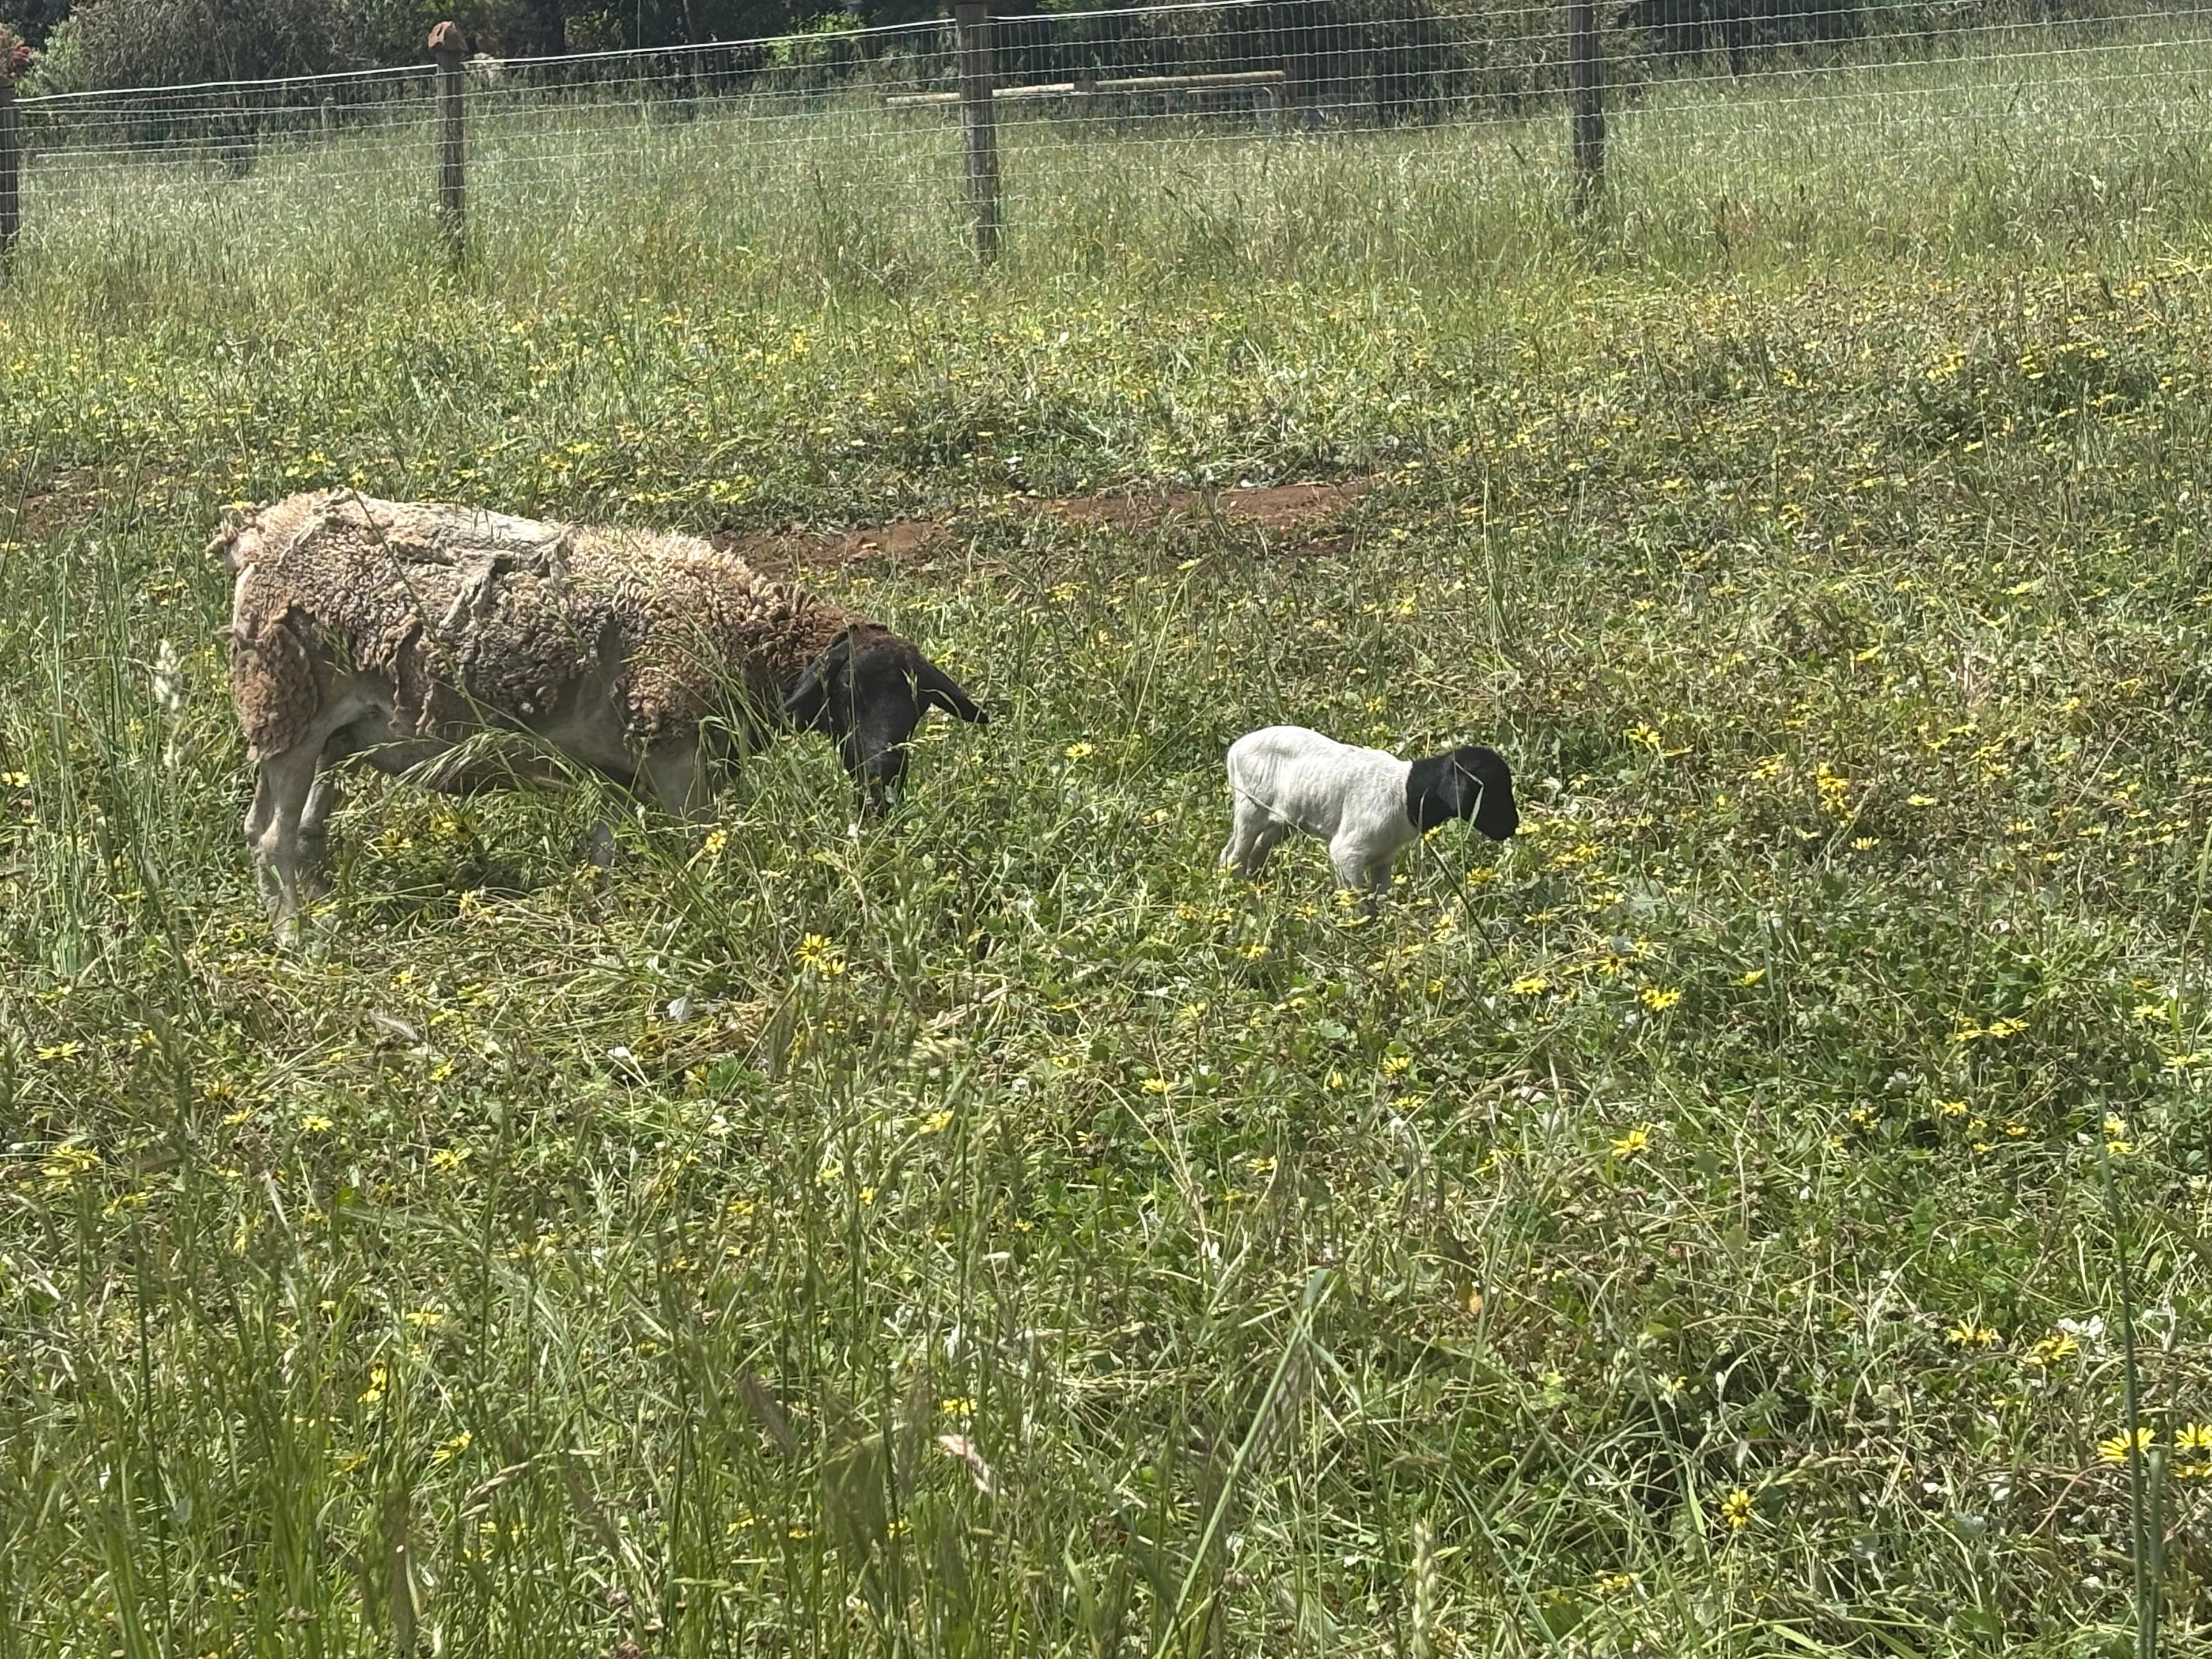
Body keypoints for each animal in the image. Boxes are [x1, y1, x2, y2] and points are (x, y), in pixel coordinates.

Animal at [213, 490, 986, 943]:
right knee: (272, 838)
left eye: (915, 707)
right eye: (849, 692)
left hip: (323, 729)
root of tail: (262, 530)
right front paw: (706, 906)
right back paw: (295, 937)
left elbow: (606, 848)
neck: (745, 639)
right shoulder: (677, 753)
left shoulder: (623, 762)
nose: (882, 775)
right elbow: (699, 847)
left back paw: (314, 908)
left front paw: (606, 911)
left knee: (288, 830)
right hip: (287, 705)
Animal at [1220, 725, 1516, 906]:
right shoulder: (1348, 852)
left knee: (1251, 853)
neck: (1405, 793)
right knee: (1234, 857)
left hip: (1281, 820)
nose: (1512, 827)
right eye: (1488, 792)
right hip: (1250, 808)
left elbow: (1380, 900)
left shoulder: (1384, 858)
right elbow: (1357, 900)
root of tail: (1235, 749)